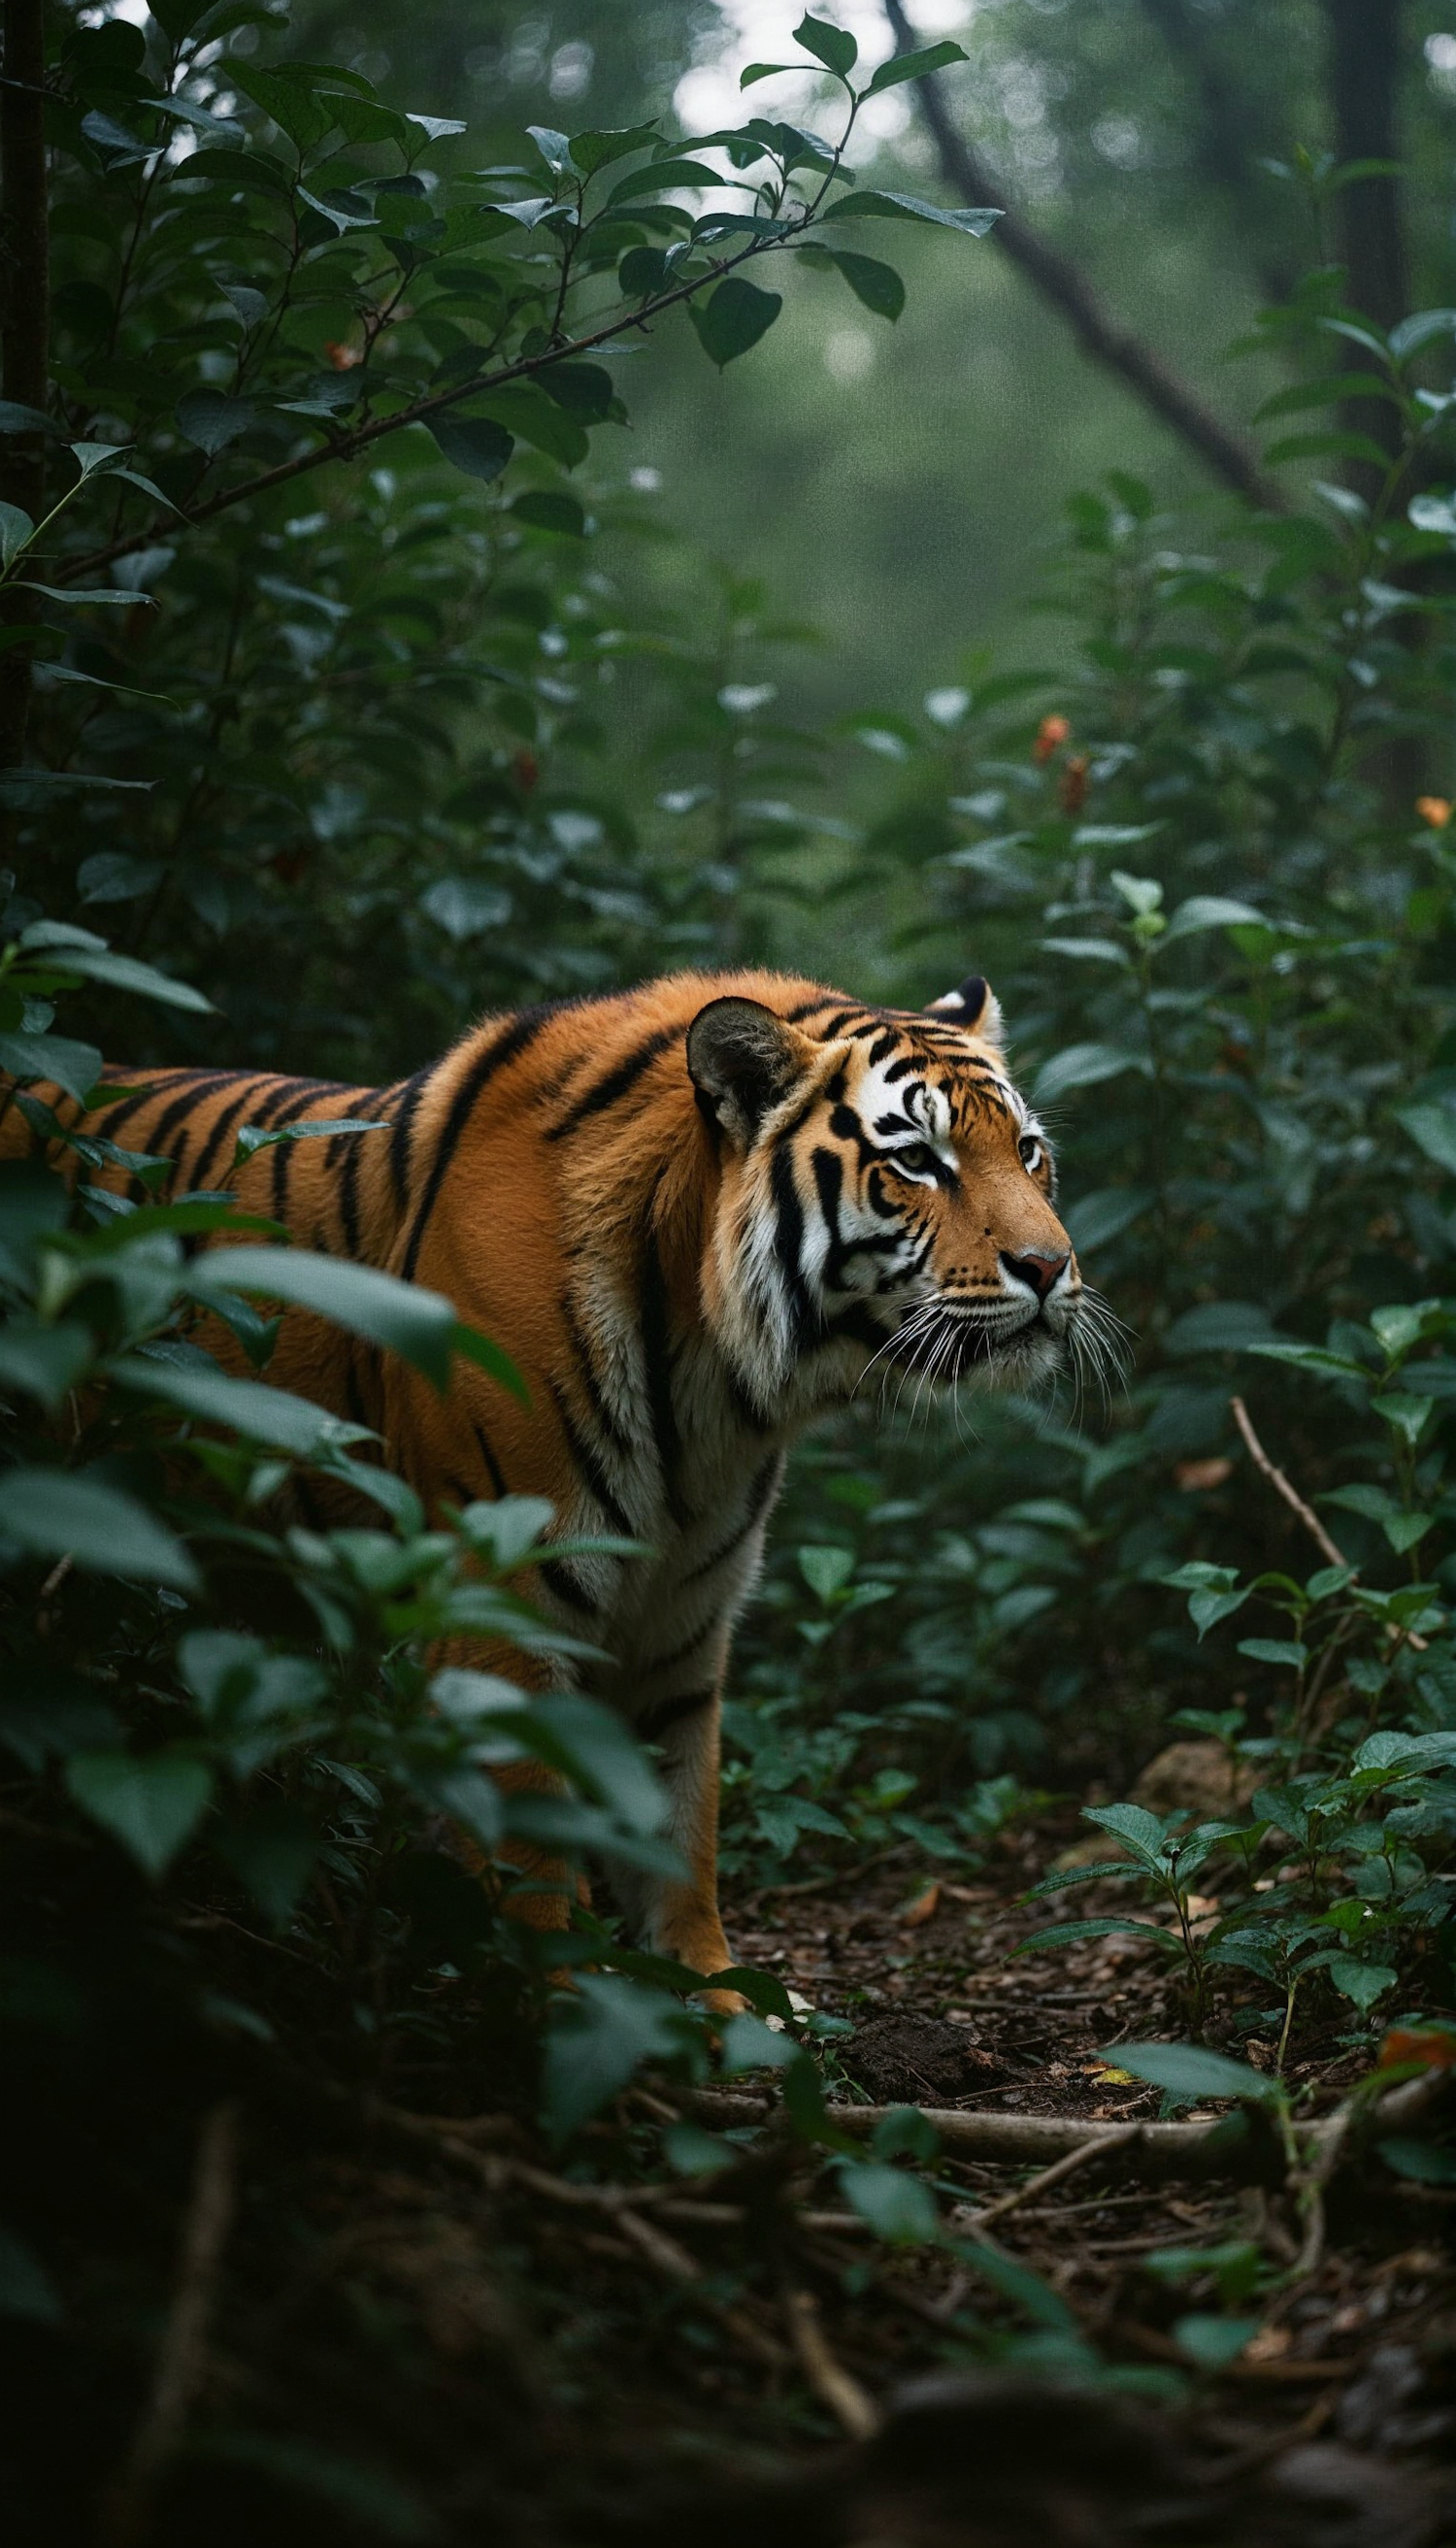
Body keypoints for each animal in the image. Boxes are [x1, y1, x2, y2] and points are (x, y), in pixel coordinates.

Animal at [8, 973, 1080, 1987]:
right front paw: (555, 2007)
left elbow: (677, 1831)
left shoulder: (682, 1621)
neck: (715, 1384)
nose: (1052, 1266)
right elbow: (535, 1858)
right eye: (917, 1160)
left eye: (1028, 1151)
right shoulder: (500, 1598)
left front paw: (712, 2003)